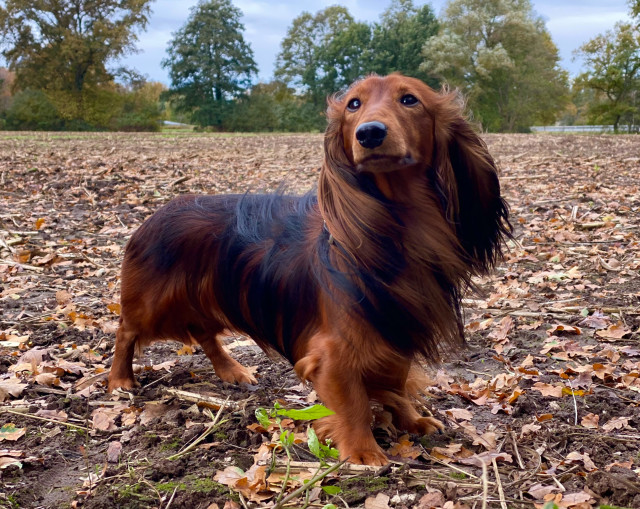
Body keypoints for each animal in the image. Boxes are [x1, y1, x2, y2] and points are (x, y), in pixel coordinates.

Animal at [109, 72, 510, 464]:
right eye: (353, 104)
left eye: (409, 99)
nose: (370, 133)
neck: (396, 226)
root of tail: (156, 213)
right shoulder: (334, 350)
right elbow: (353, 400)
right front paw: (363, 452)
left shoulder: (395, 326)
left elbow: (395, 382)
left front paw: (411, 420)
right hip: (153, 305)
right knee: (126, 330)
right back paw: (119, 380)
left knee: (206, 334)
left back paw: (232, 370)